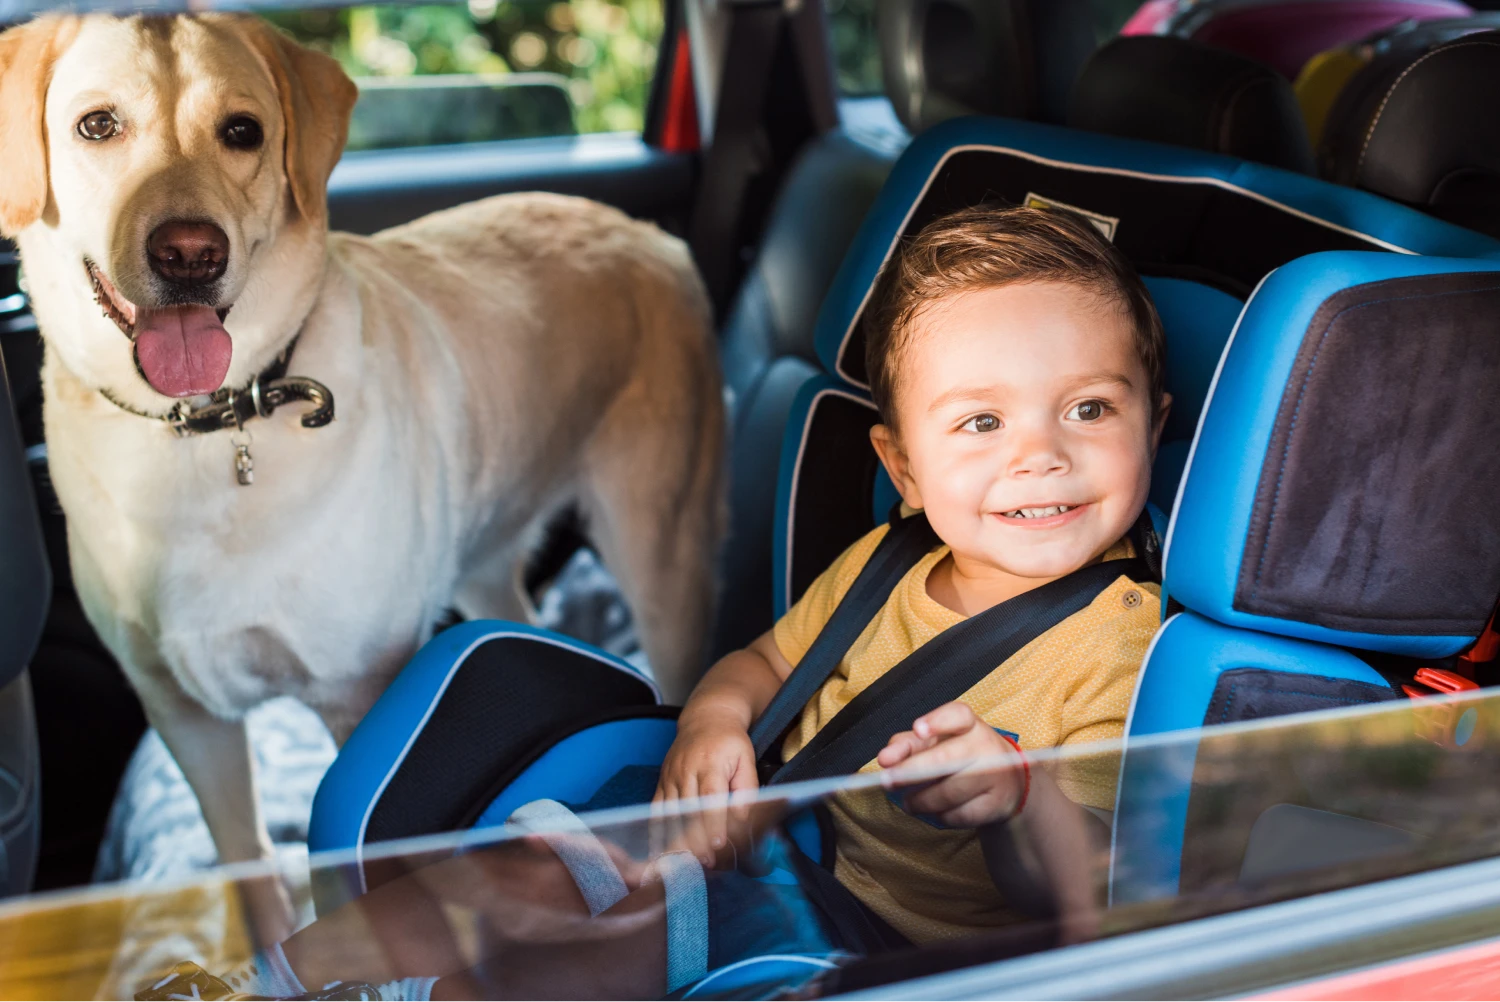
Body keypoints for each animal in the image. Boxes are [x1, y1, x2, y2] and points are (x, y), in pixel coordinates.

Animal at [0, 13, 726, 942]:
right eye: (97, 126)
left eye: (243, 132)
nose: (191, 253)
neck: (208, 431)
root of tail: (646, 231)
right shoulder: (185, 718)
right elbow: (253, 879)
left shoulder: (361, 706)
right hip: (484, 556)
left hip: (661, 558)